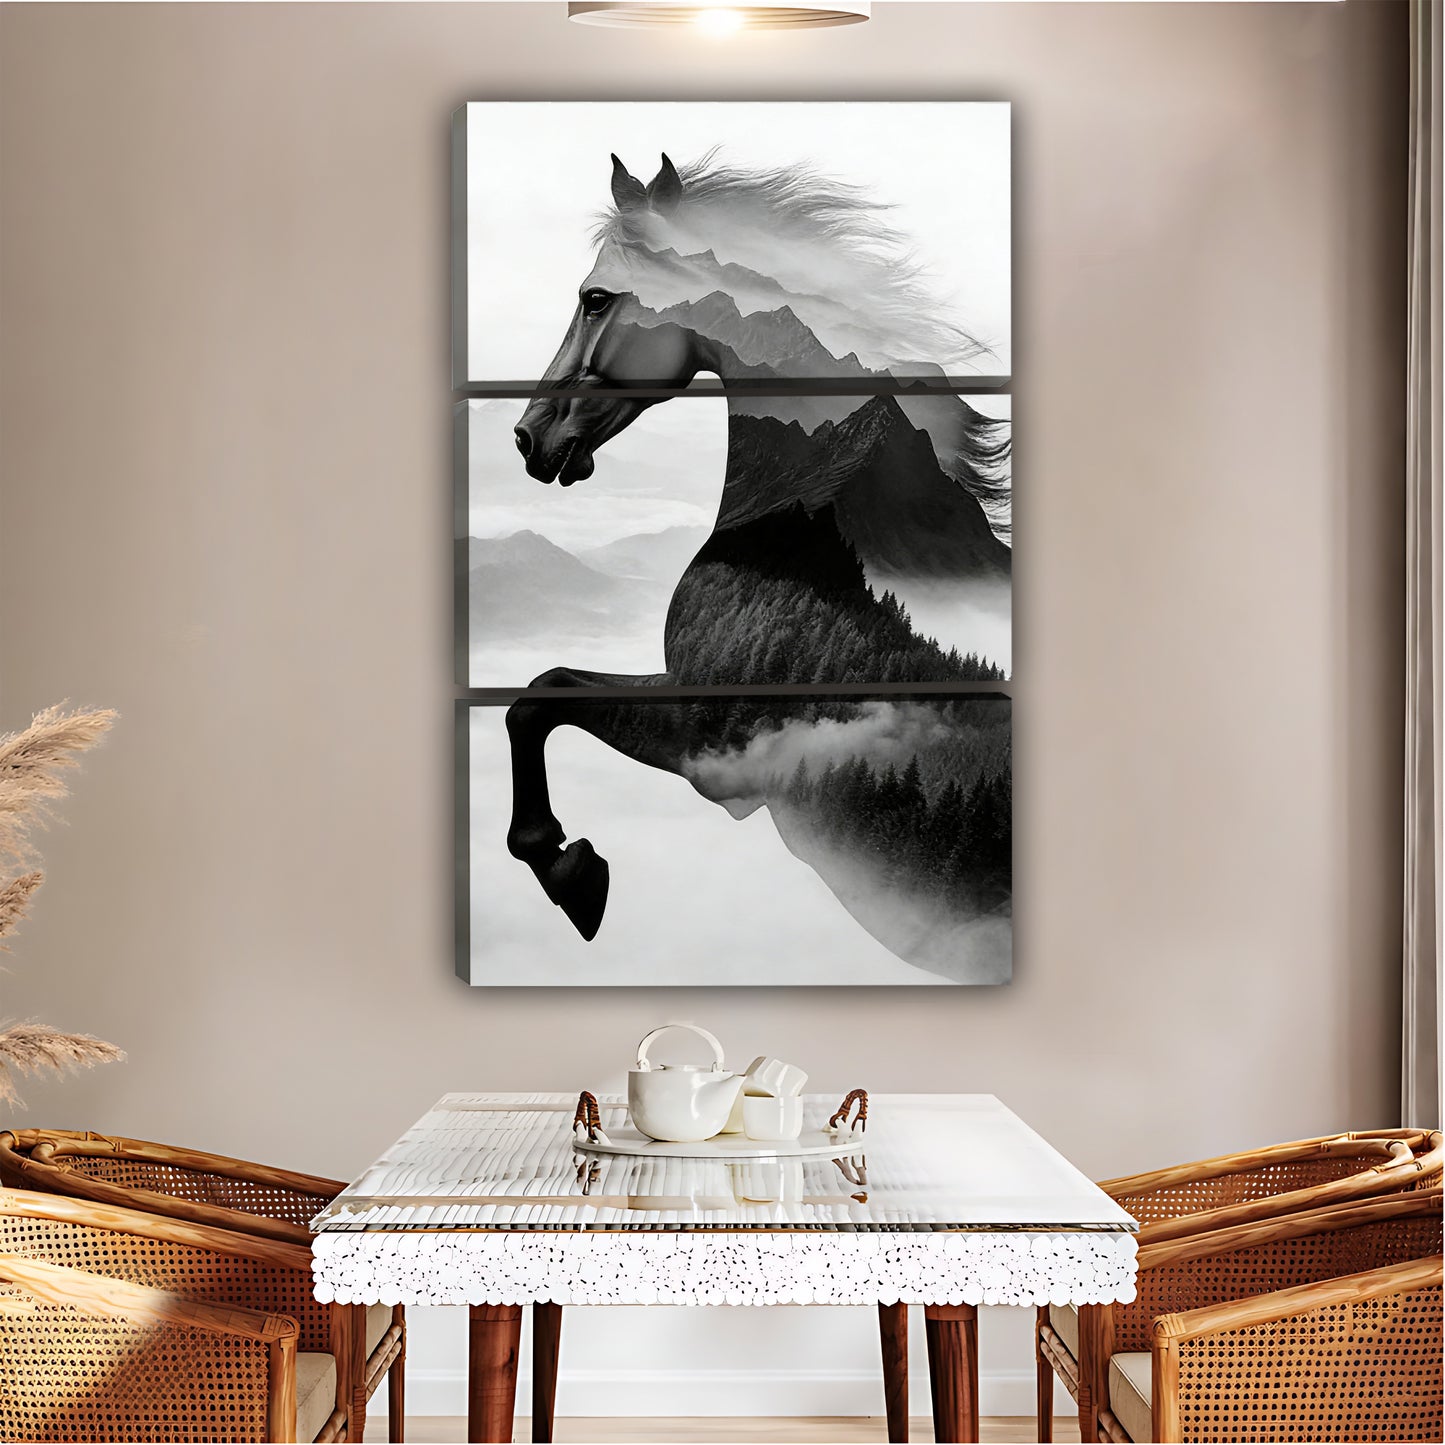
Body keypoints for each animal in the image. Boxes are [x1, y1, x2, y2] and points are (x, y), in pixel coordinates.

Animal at [502, 152, 1011, 973]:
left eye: (594, 297)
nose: (528, 437)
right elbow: (544, 689)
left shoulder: (713, 749)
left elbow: (535, 702)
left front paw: (570, 872)